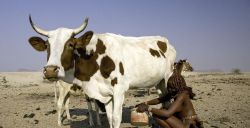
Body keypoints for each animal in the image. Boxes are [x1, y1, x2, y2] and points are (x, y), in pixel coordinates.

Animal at [27, 15, 176, 127]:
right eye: (47, 46)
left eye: (70, 44)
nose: (50, 70)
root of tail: (165, 41)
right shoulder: (105, 92)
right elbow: (109, 118)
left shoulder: (119, 90)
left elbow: (116, 118)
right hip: (159, 83)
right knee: (165, 102)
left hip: (168, 78)